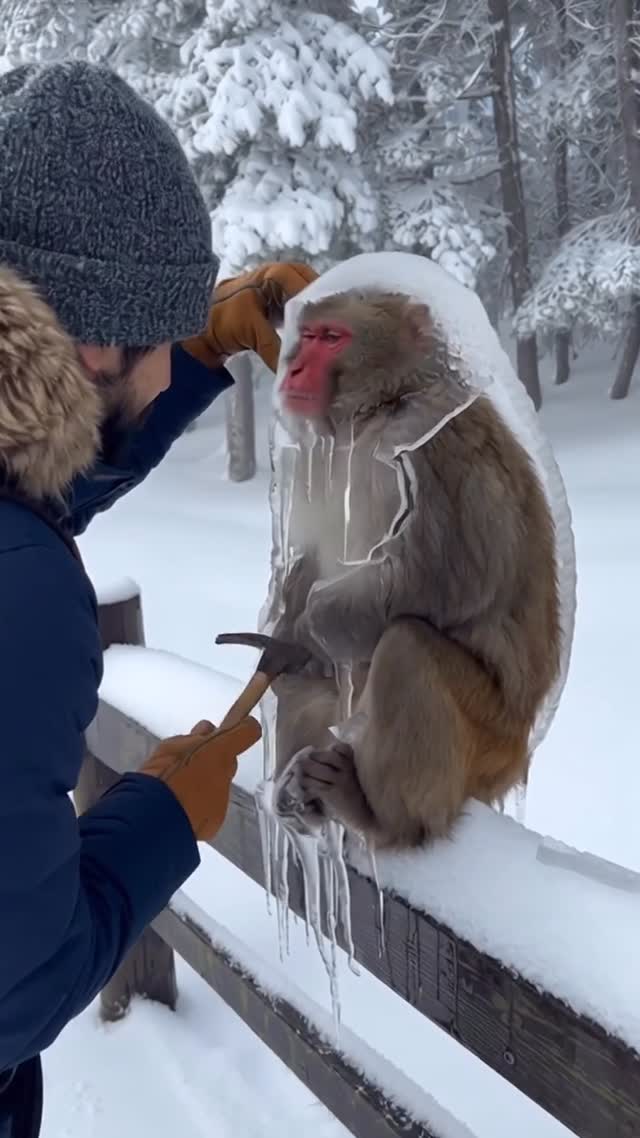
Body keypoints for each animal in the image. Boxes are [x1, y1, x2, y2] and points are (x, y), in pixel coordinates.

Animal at [265, 288, 561, 850]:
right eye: (307, 336)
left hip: (487, 743)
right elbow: (311, 561)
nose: (292, 368)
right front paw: (289, 623)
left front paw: (314, 622)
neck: (374, 412)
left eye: (332, 338)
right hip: (351, 715)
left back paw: (377, 815)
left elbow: (448, 579)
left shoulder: (432, 445)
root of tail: (520, 756)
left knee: (406, 647)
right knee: (306, 690)